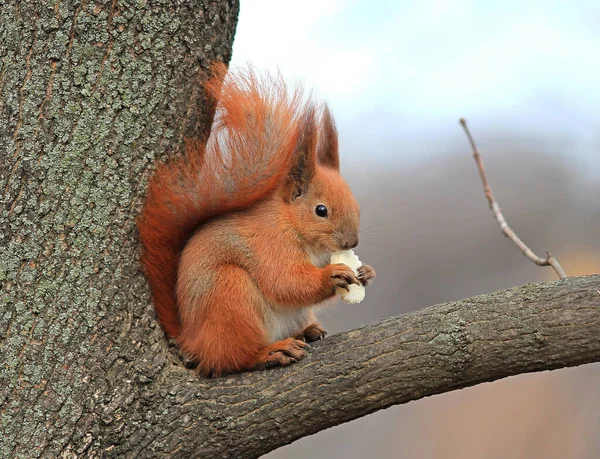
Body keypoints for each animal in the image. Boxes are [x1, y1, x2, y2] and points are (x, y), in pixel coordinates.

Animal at [138, 64, 378, 378]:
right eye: (321, 210)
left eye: (355, 202)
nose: (352, 242)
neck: (292, 224)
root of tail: (193, 339)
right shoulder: (271, 243)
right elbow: (285, 282)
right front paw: (332, 275)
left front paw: (367, 271)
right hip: (229, 294)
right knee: (233, 358)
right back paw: (270, 352)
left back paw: (308, 331)